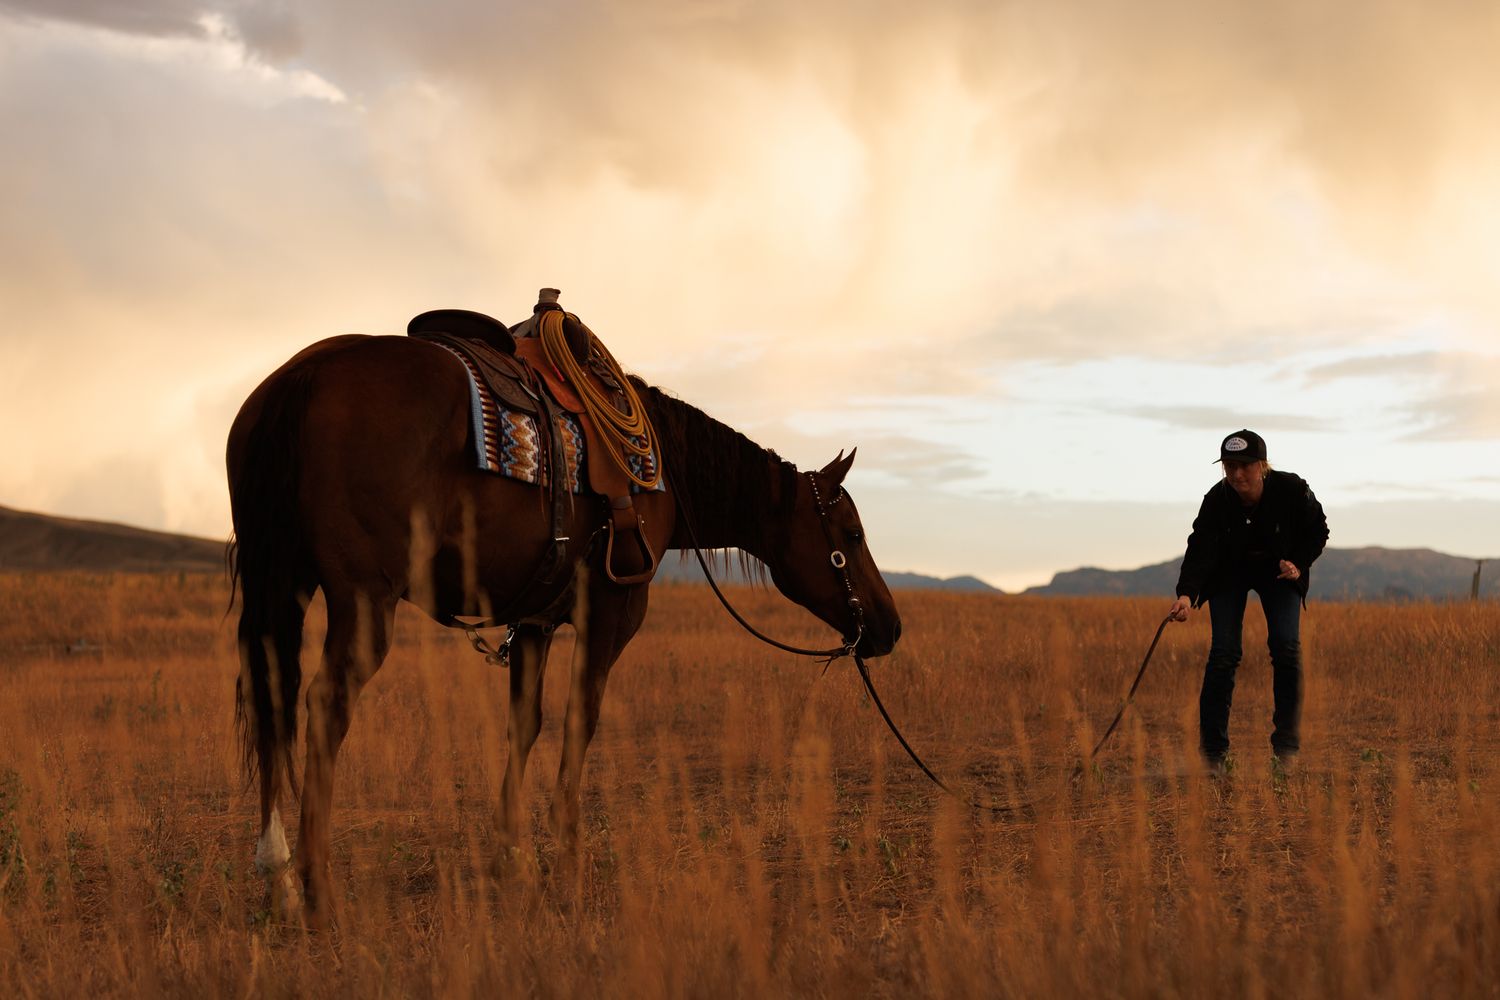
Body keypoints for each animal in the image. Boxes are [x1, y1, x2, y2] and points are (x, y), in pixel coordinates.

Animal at [226, 331, 902, 915]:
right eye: (851, 534)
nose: (889, 626)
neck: (664, 474)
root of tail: (305, 374)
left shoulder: (533, 623)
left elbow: (525, 723)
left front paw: (512, 856)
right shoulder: (610, 612)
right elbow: (582, 717)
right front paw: (568, 857)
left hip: (282, 583)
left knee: (273, 700)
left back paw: (279, 877)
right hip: (364, 598)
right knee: (325, 704)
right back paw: (317, 887)